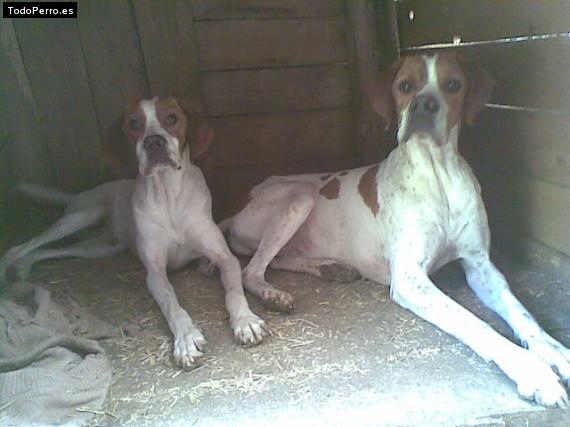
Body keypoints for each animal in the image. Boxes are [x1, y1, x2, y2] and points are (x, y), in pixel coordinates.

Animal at [0, 96, 268, 368]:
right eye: (134, 124)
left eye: (172, 118)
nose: (154, 142)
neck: (169, 196)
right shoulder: (155, 273)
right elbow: (173, 305)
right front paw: (186, 338)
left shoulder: (225, 257)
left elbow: (234, 291)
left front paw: (246, 321)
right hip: (79, 216)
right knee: (24, 245)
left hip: (99, 247)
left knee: (53, 250)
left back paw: (22, 269)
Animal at [209, 53, 568, 408]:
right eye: (405, 86)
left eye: (453, 85)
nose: (423, 105)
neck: (438, 174)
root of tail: (239, 205)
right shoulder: (409, 278)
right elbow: (474, 322)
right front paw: (531, 371)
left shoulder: (480, 265)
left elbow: (522, 313)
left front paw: (555, 352)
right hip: (300, 194)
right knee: (251, 270)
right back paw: (275, 295)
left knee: (279, 259)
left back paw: (330, 268)